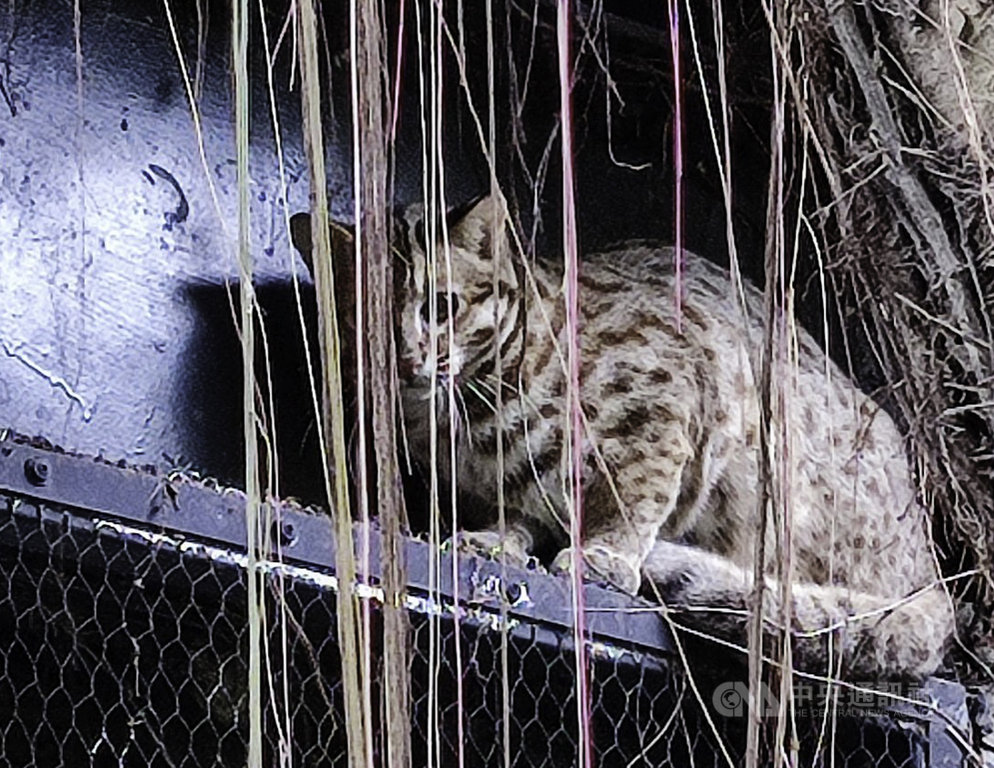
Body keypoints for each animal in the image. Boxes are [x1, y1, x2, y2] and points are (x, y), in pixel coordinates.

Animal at [290, 192, 948, 680]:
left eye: (441, 305)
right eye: (364, 316)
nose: (405, 359)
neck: (466, 415)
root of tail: (932, 575)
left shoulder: (670, 399)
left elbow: (635, 497)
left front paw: (602, 554)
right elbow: (512, 510)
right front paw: (496, 541)